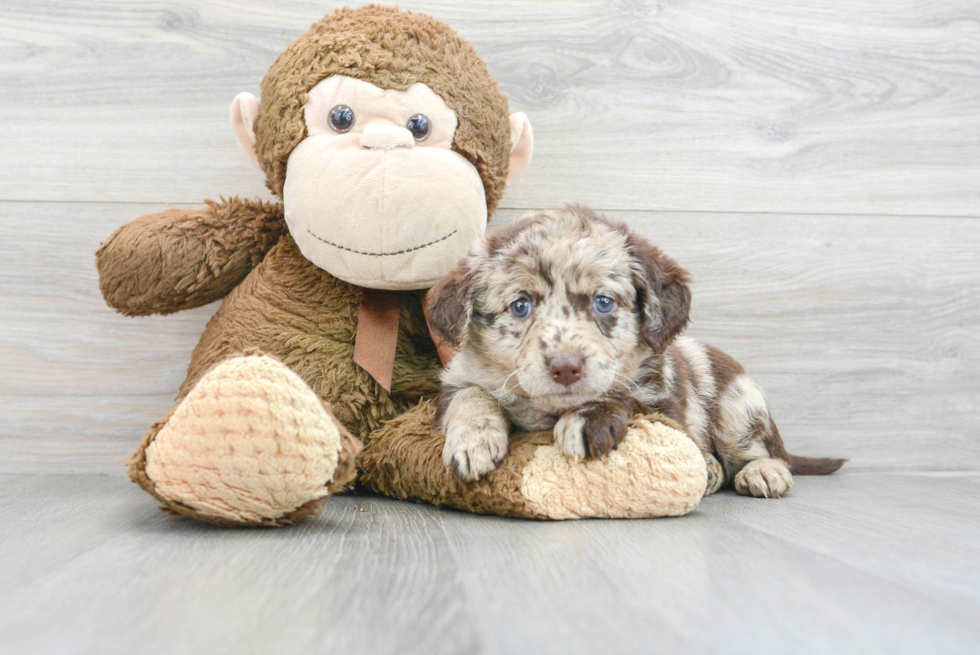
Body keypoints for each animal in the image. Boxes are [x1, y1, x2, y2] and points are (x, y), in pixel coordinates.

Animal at [424, 208, 848, 500]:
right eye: (520, 306)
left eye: (603, 302)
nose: (566, 368)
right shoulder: (459, 378)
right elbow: (473, 396)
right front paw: (473, 443)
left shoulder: (662, 402)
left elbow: (625, 397)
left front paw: (588, 418)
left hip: (738, 405)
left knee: (760, 451)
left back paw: (762, 472)